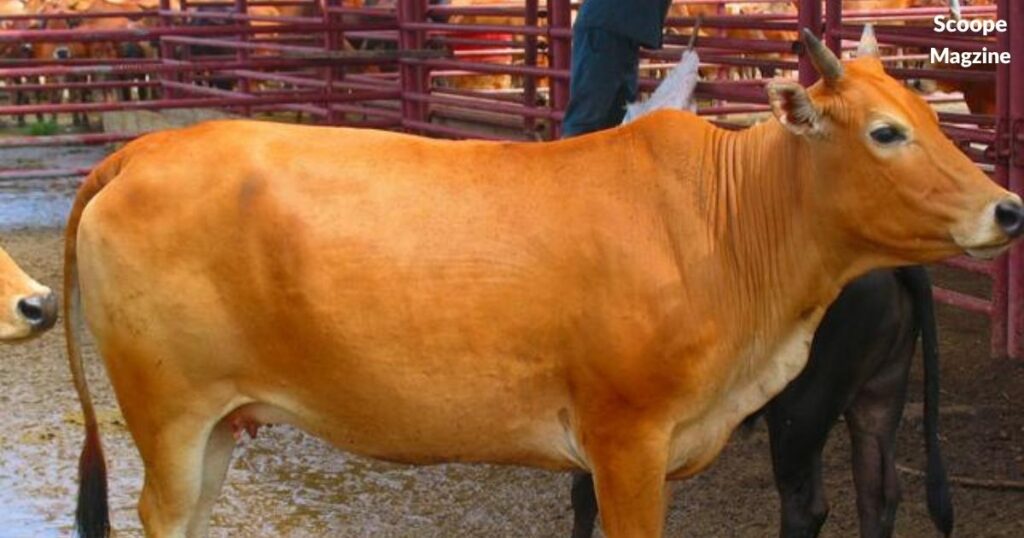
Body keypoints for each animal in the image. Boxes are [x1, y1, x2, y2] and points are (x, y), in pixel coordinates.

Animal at [63, 30, 1023, 538]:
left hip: (218, 425)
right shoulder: (626, 441)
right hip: (171, 416)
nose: (1007, 209)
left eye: (935, 113)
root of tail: (144, 149)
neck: (726, 221)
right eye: (886, 131)